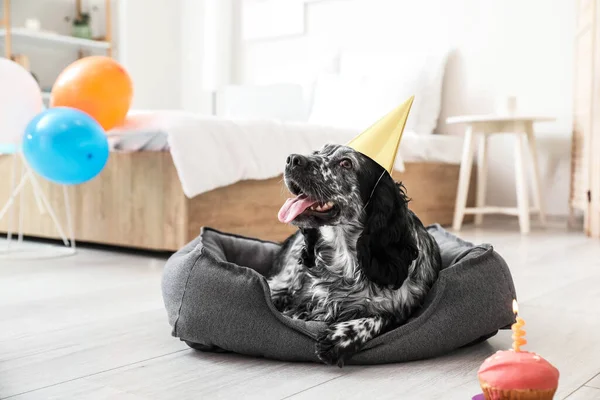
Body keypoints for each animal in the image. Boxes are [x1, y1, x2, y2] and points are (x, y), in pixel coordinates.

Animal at [270, 143, 442, 366]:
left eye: (346, 163)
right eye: (318, 152)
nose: (292, 159)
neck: (347, 259)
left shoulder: (405, 309)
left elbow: (381, 317)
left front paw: (340, 337)